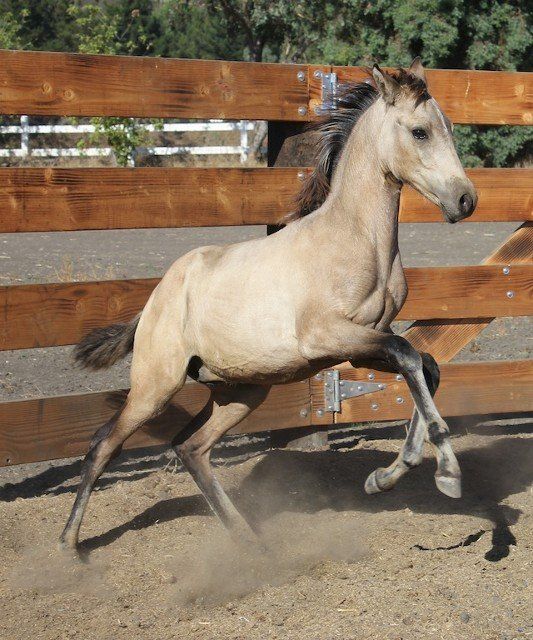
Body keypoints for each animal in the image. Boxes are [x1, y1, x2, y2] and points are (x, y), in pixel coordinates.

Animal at [60, 59, 477, 554]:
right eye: (419, 131)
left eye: (447, 127)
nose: (466, 199)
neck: (358, 241)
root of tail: (156, 300)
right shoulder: (329, 336)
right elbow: (411, 356)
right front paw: (444, 475)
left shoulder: (362, 344)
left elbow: (425, 367)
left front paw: (389, 475)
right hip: (155, 387)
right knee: (103, 444)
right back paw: (68, 546)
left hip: (241, 391)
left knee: (190, 447)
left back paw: (249, 540)